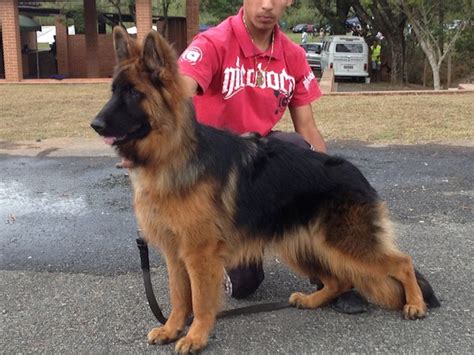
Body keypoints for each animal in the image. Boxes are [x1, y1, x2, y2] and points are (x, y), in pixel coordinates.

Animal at [90, 27, 438, 354]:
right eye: (114, 91)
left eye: (134, 93)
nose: (95, 124)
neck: (172, 154)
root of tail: (357, 174)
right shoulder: (176, 255)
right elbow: (179, 297)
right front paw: (172, 328)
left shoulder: (199, 255)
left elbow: (200, 301)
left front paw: (196, 336)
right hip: (303, 247)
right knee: (340, 278)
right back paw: (312, 300)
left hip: (345, 243)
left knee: (402, 262)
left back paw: (415, 304)